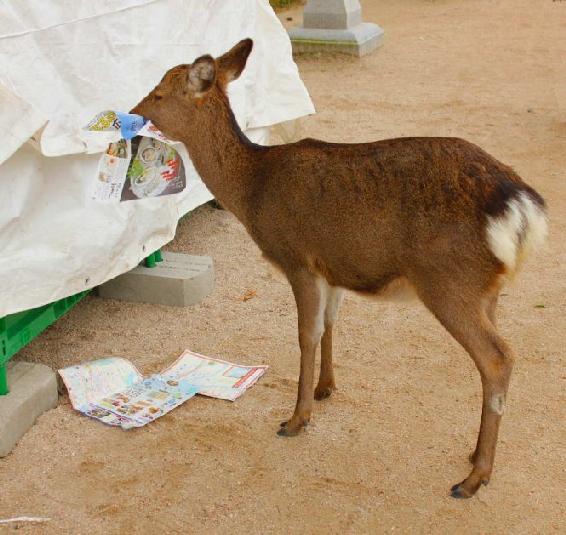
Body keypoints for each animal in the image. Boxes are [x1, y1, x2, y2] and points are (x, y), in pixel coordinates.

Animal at [132, 39, 552, 500]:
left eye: (158, 94)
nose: (133, 111)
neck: (252, 189)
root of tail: (522, 206)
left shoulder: (297, 257)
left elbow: (306, 335)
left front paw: (296, 418)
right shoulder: (332, 266)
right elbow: (330, 323)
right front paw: (325, 388)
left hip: (448, 281)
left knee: (498, 357)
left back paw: (474, 477)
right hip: (486, 289)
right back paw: (474, 454)